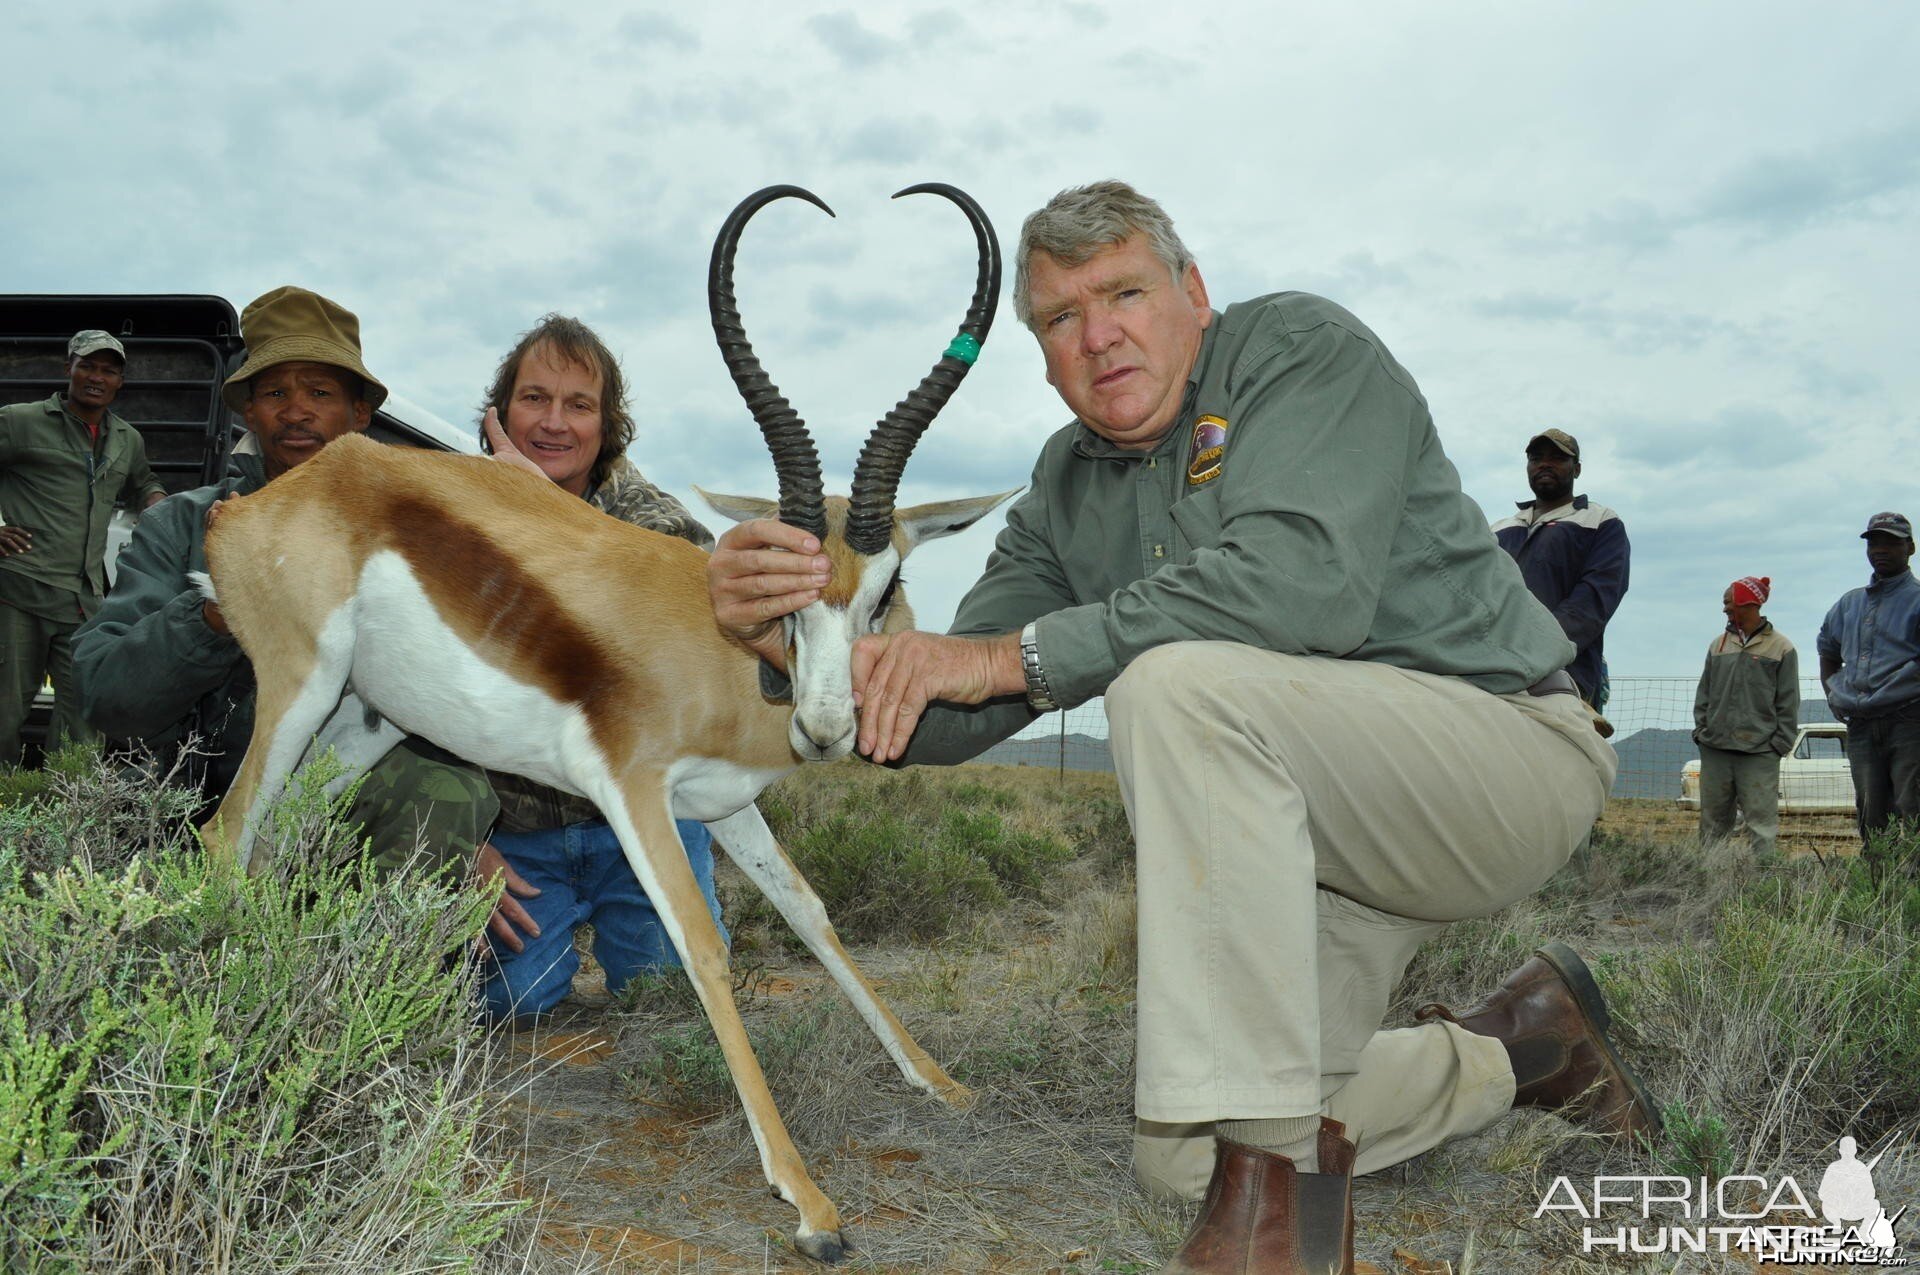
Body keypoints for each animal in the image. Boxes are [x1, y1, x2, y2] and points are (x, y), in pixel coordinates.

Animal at [202, 184, 1021, 1259]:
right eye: (783, 591)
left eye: (885, 590)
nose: (827, 726)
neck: (722, 653)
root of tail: (262, 502)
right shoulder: (633, 791)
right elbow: (705, 947)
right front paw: (811, 1206)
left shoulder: (725, 805)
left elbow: (810, 911)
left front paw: (939, 1080)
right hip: (298, 690)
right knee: (224, 836)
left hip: (360, 724)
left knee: (277, 840)